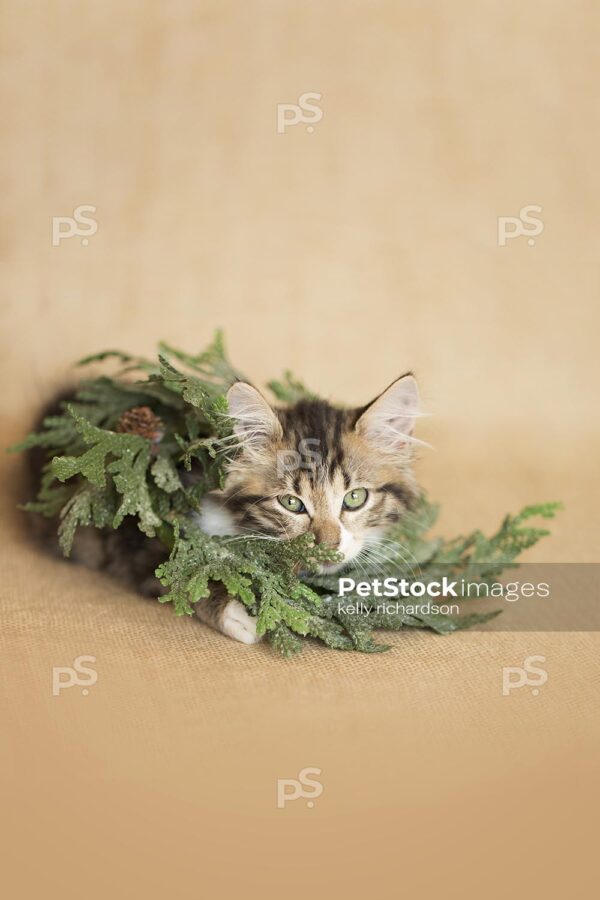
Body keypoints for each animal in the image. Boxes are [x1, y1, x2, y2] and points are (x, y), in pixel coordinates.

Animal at [29, 374, 422, 648]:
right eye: (291, 503)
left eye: (354, 498)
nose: (327, 547)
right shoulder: (139, 539)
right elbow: (189, 577)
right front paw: (238, 616)